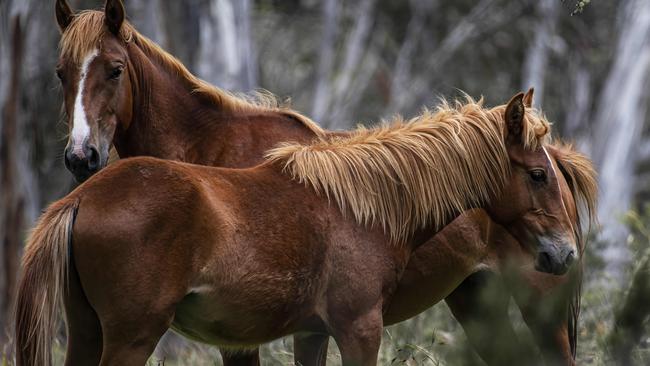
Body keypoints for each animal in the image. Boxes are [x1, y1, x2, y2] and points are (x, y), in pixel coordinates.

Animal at [15, 92, 576, 366]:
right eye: (537, 174)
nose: (564, 253)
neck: (365, 206)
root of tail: (82, 196)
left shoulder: (312, 334)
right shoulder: (358, 329)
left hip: (87, 333)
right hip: (131, 337)